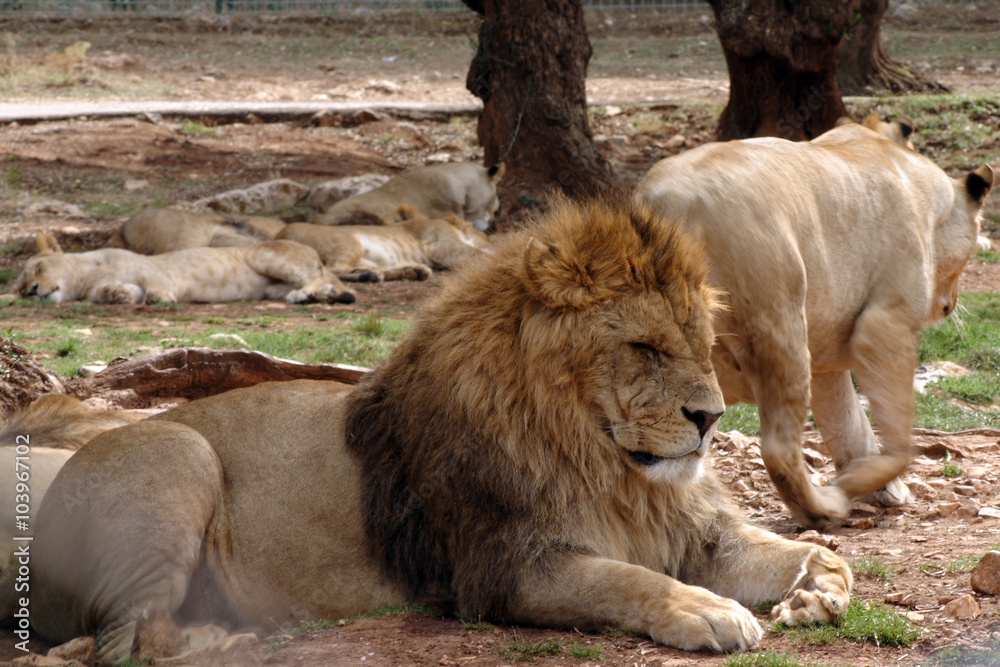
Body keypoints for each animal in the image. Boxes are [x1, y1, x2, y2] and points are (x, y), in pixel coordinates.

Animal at [276, 205, 490, 282]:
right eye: (485, 236)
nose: (489, 238)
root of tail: (279, 234)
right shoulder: (441, 246)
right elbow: (477, 252)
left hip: (362, 256)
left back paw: (410, 271)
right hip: (348, 243)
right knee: (333, 268)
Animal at [635, 122, 993, 528]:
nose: (950, 304)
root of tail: (666, 205)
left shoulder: (826, 359)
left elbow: (849, 425)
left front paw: (877, 486)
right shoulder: (886, 324)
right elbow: (896, 436)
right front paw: (866, 485)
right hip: (779, 322)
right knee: (778, 449)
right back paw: (823, 508)